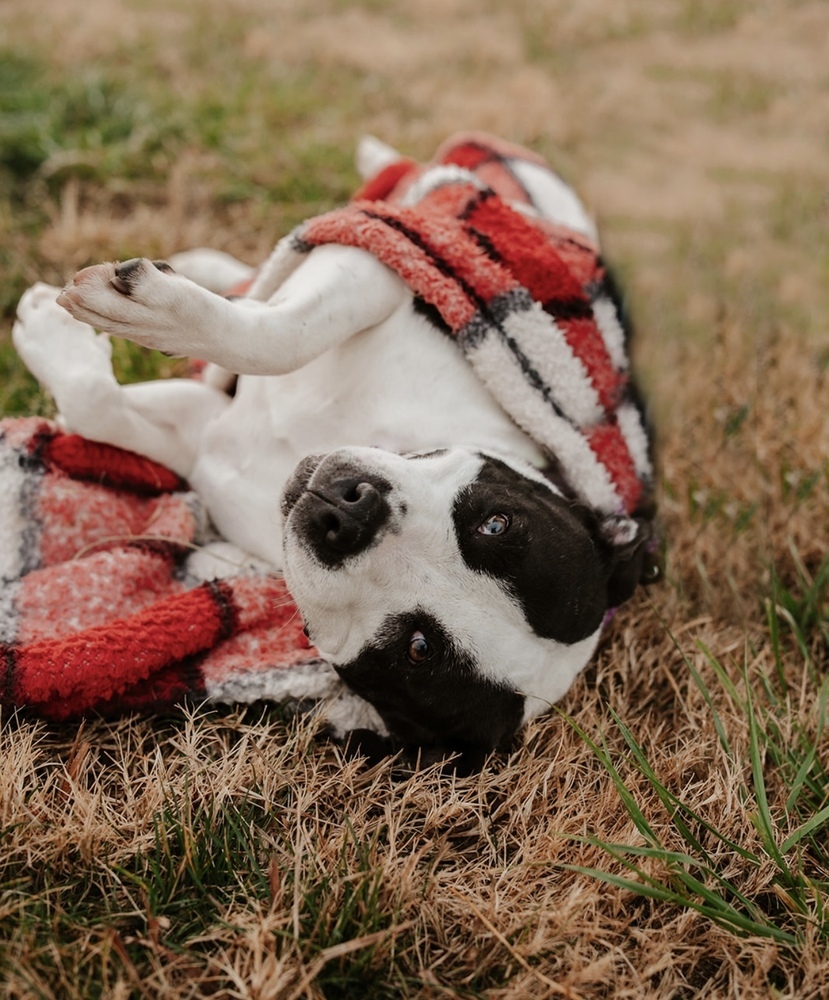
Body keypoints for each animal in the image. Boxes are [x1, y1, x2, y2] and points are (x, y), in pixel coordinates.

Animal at [12, 131, 656, 756]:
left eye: (418, 649)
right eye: (496, 523)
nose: (354, 514)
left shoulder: (203, 438)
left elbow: (99, 405)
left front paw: (53, 335)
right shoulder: (385, 268)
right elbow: (283, 334)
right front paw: (136, 312)